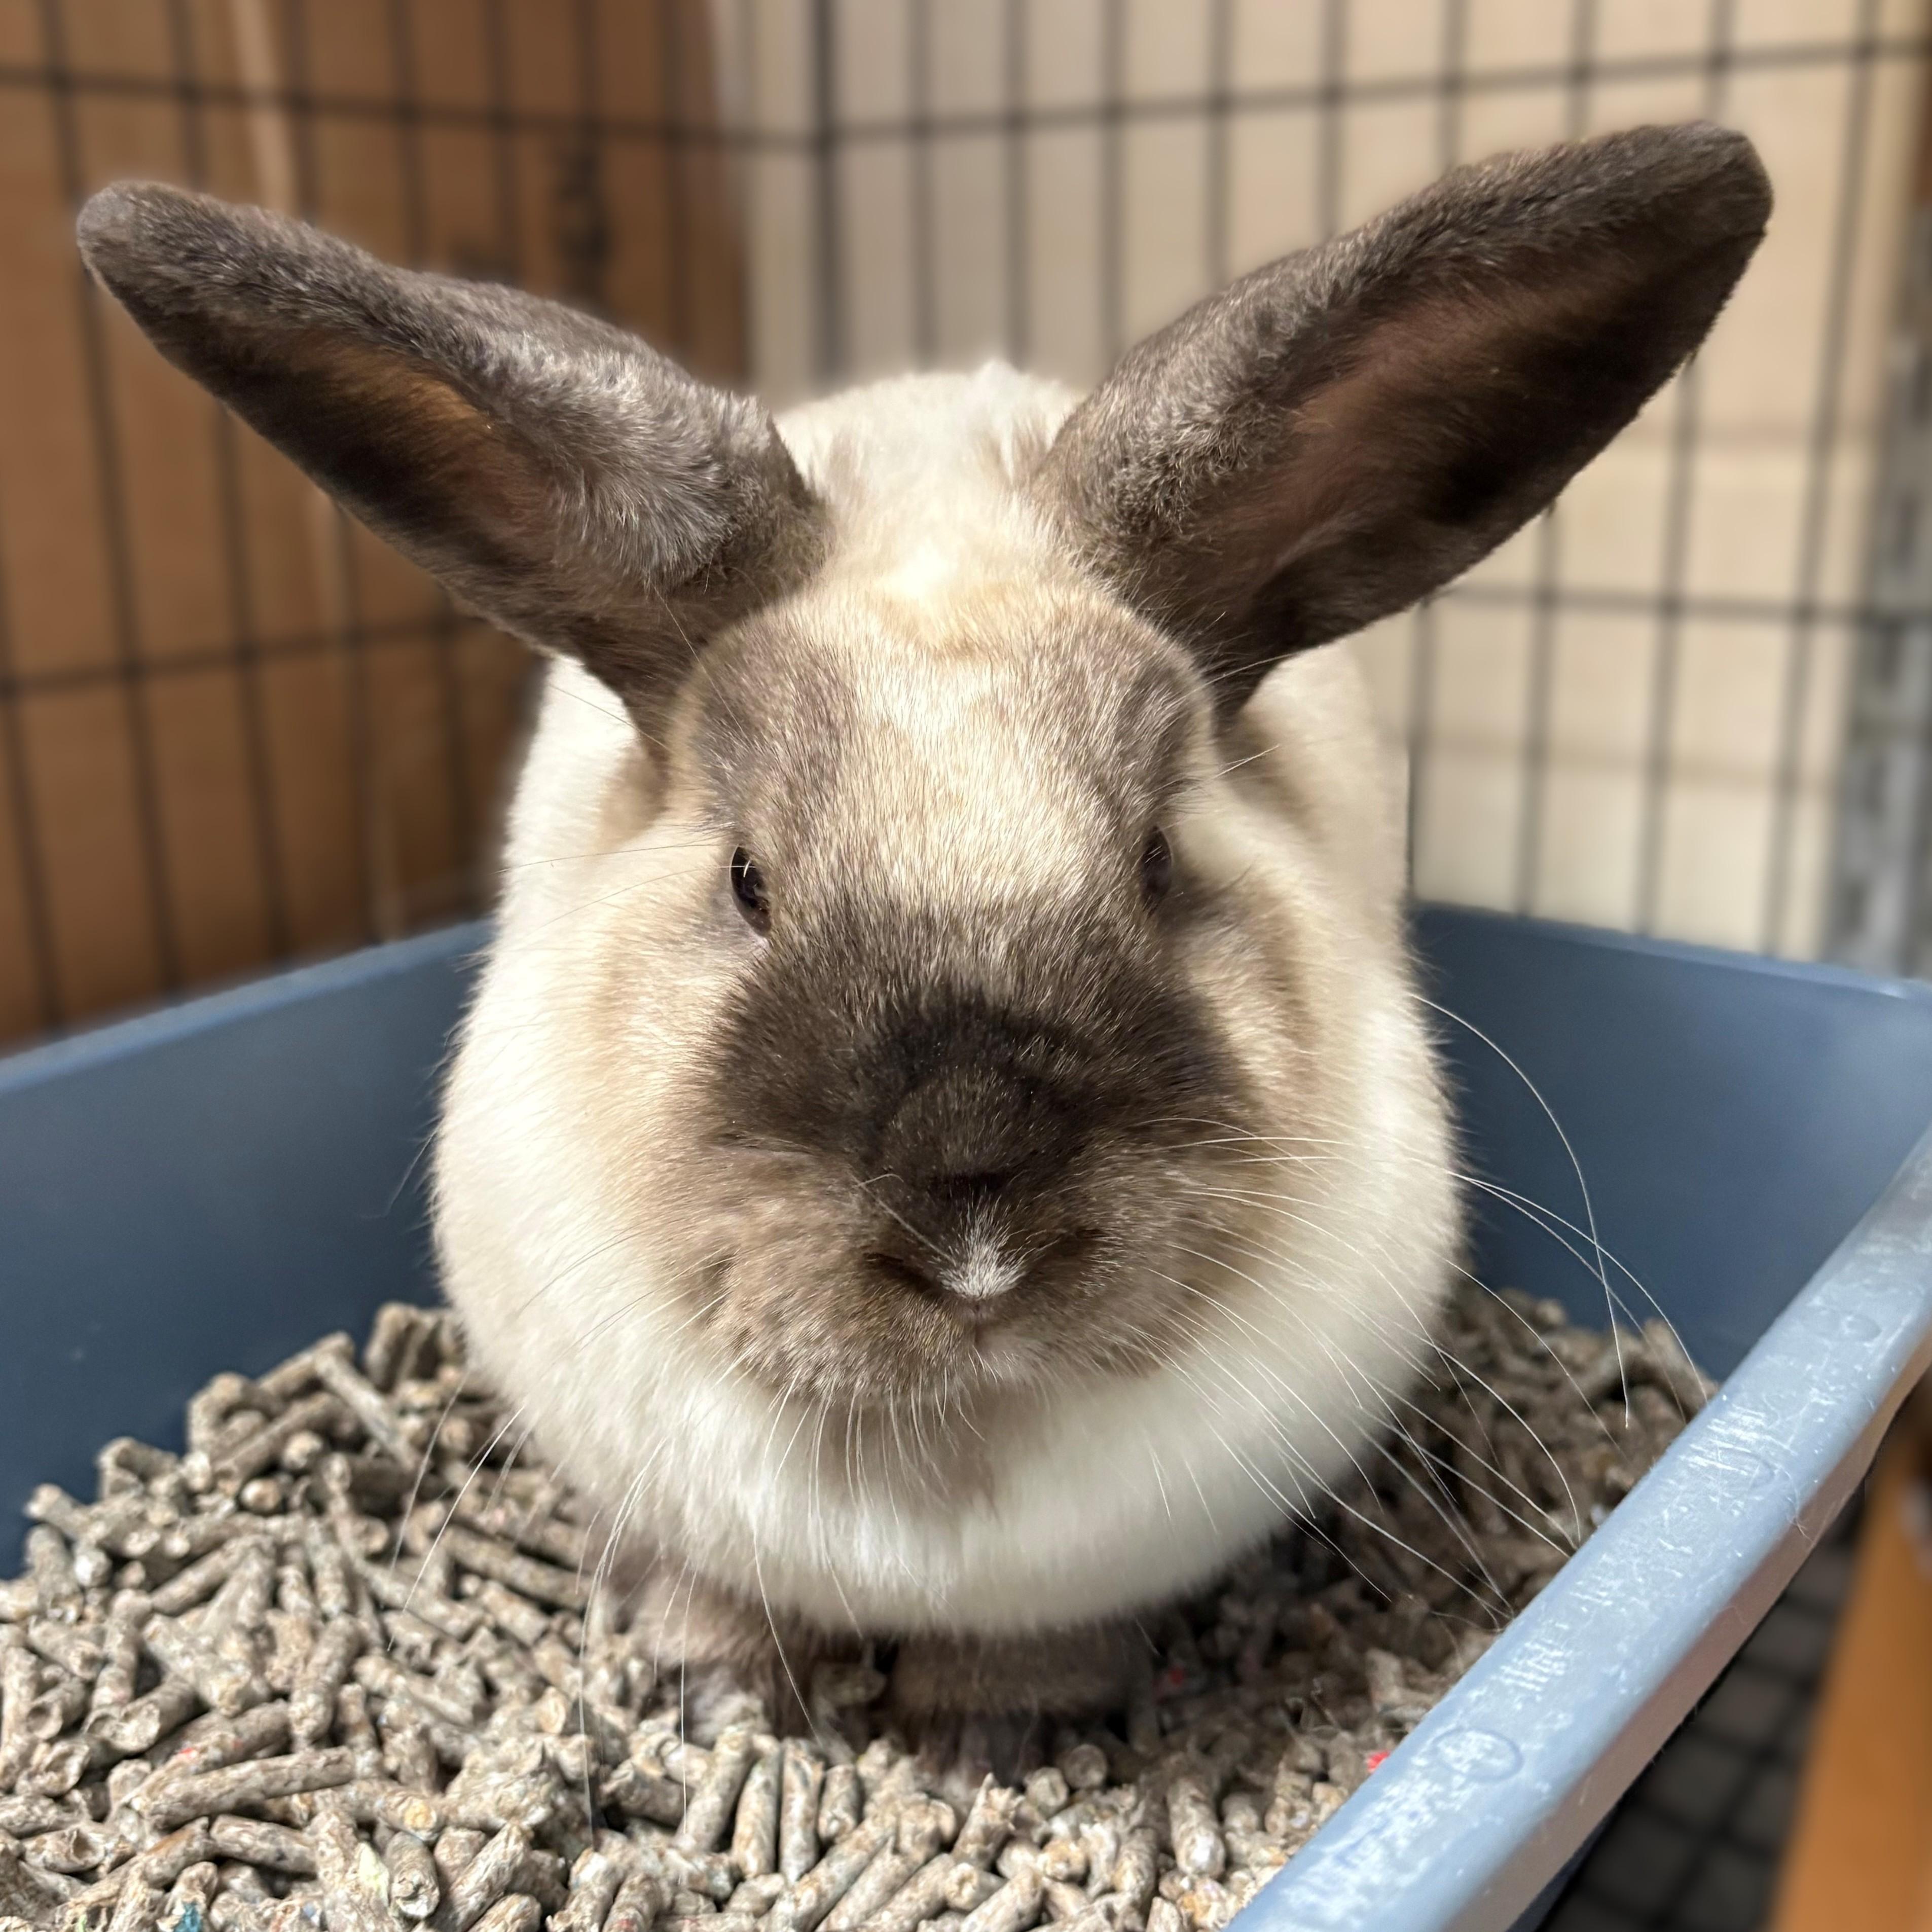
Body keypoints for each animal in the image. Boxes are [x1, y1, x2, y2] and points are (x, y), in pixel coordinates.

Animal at [77, 120, 1769, 1741]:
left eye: (1158, 858)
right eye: (747, 879)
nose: (975, 1227)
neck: (953, 1446)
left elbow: (1031, 1648)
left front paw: (989, 1731)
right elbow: (715, 1595)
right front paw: (722, 1693)